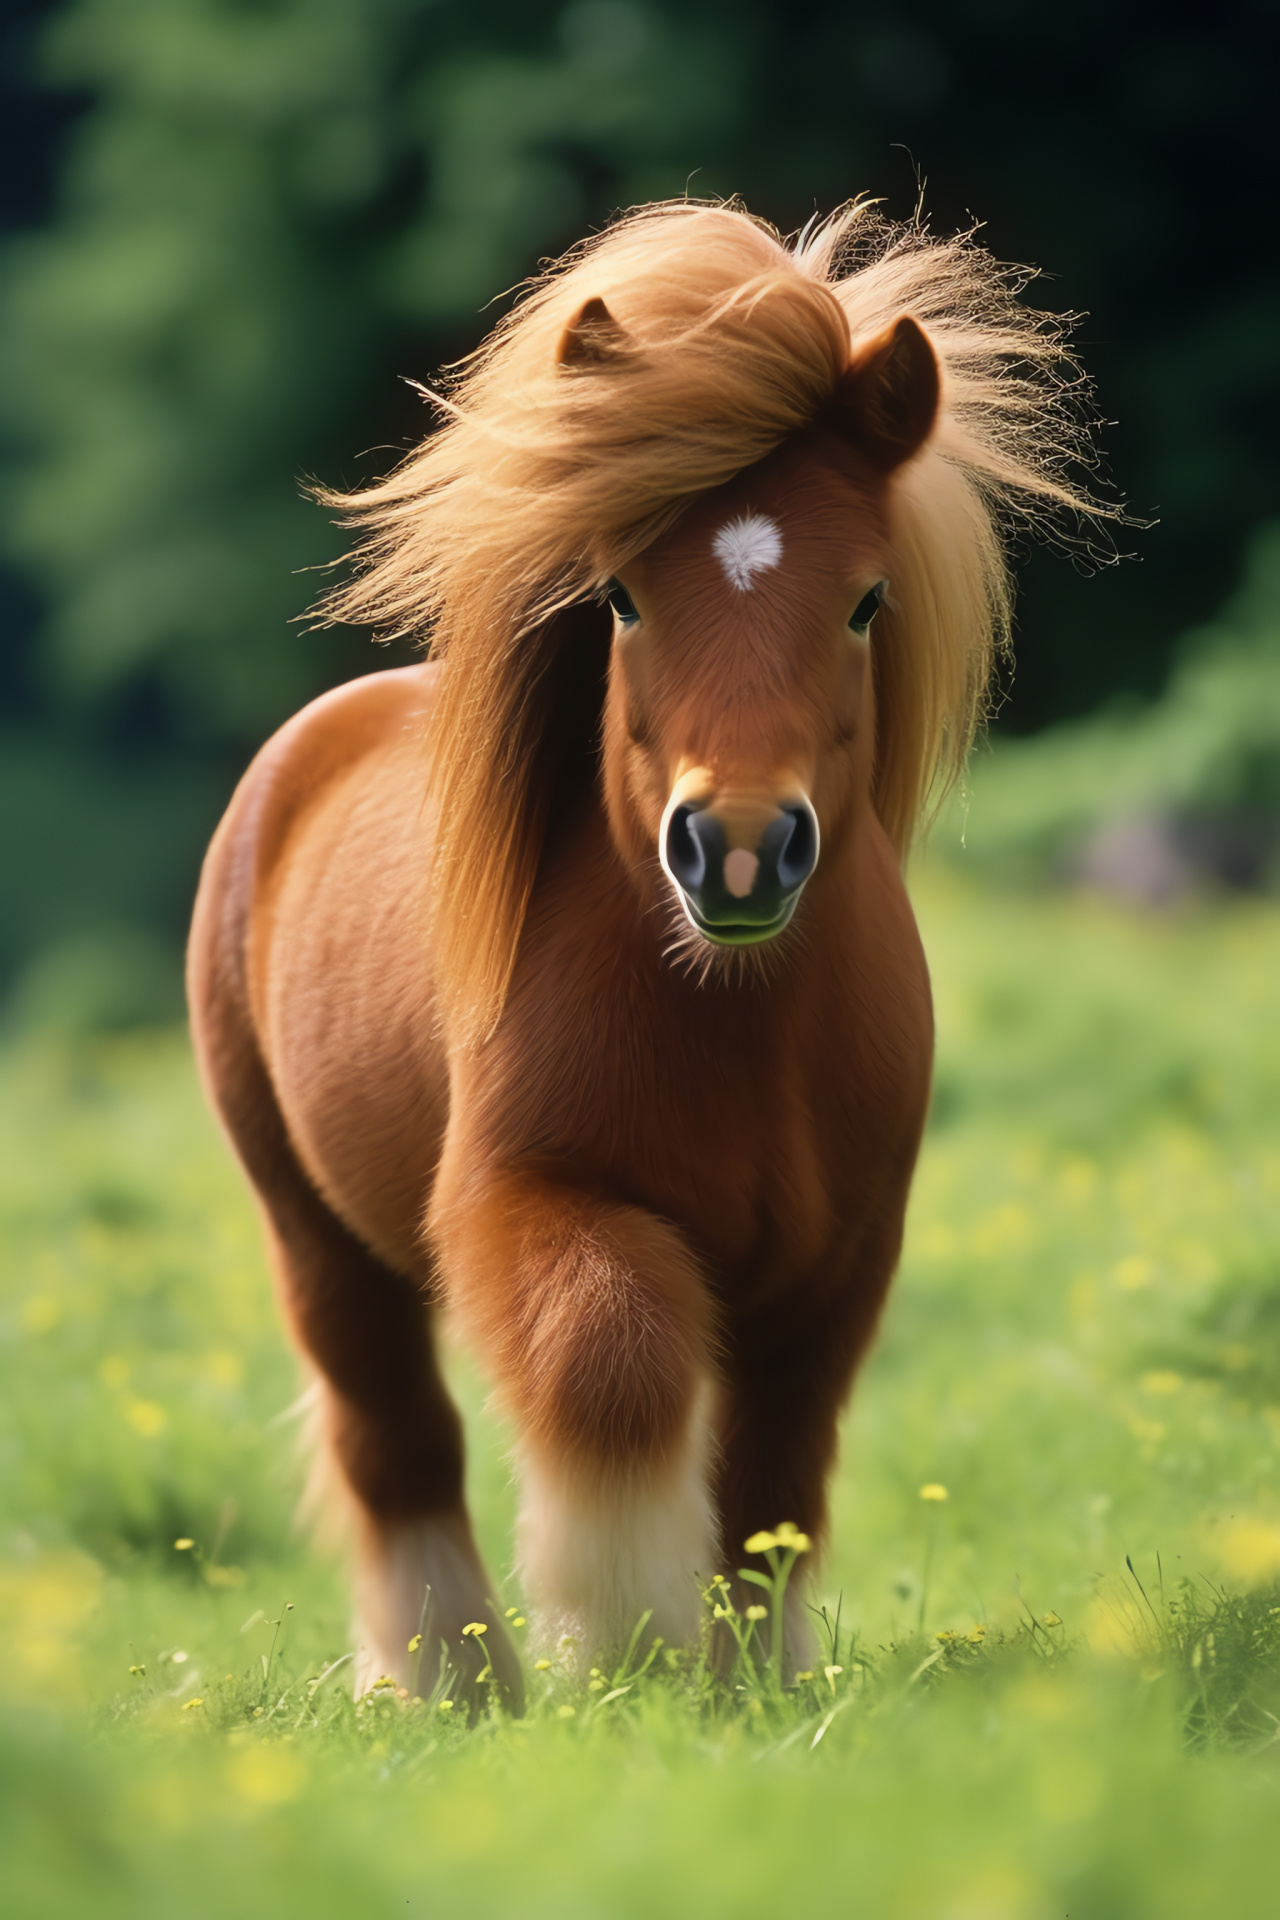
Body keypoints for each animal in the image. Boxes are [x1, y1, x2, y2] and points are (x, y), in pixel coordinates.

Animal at [185, 191, 1105, 1697]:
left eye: (864, 601)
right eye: (620, 595)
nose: (733, 847)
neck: (733, 1019)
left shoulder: (843, 1260)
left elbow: (775, 1471)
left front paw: (757, 1675)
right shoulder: (530, 1201)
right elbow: (607, 1367)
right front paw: (628, 1643)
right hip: (314, 1235)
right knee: (395, 1440)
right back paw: (448, 1681)